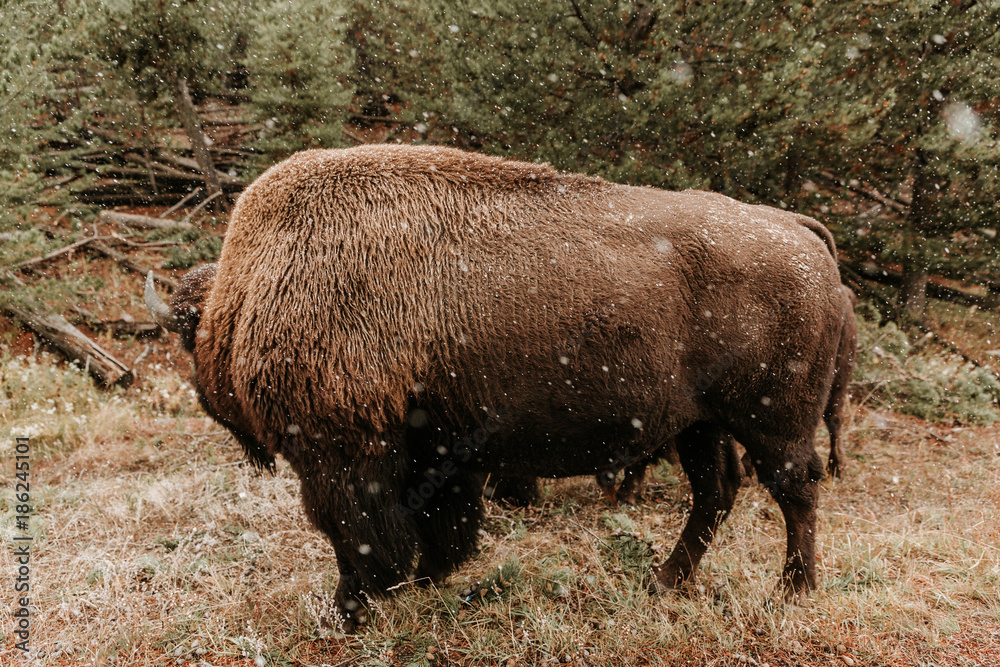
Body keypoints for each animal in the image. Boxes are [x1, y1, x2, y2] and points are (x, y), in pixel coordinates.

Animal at [145, 144, 852, 630]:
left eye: (187, 342)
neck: (253, 287)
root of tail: (800, 236)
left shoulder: (343, 453)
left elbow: (356, 532)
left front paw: (352, 607)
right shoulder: (438, 448)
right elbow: (438, 523)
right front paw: (425, 580)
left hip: (773, 420)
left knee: (795, 489)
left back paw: (793, 589)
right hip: (698, 424)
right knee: (717, 493)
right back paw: (665, 582)